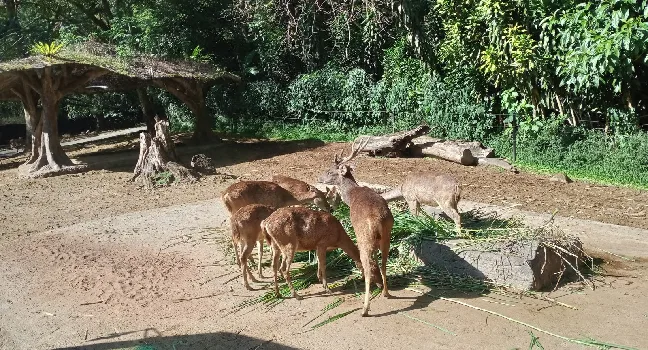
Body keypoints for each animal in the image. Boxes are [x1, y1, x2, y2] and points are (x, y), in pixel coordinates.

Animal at [316, 137, 392, 318]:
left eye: (330, 171)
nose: (319, 177)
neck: (351, 196)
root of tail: (379, 220)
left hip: (364, 236)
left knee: (367, 263)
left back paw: (365, 308)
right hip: (387, 235)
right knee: (384, 262)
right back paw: (386, 292)